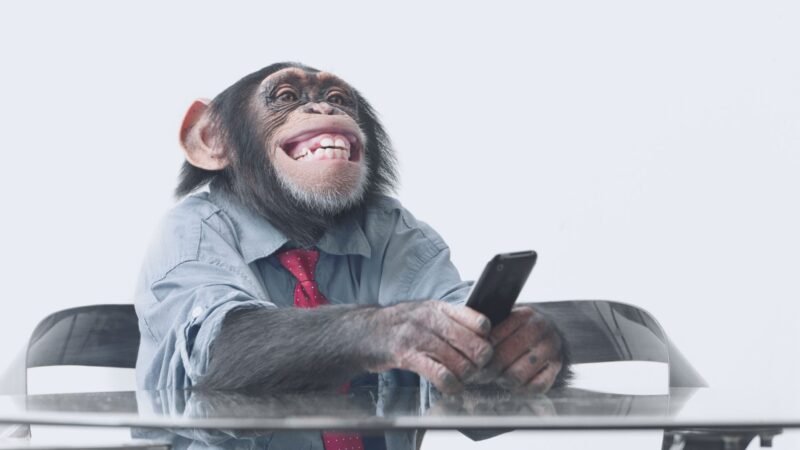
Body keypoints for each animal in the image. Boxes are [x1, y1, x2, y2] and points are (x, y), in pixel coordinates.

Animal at [134, 62, 571, 398]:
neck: (294, 228)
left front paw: (530, 338)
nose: (321, 106)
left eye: (339, 99)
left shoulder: (412, 231)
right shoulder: (186, 238)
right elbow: (221, 334)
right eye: (287, 96)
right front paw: (409, 326)